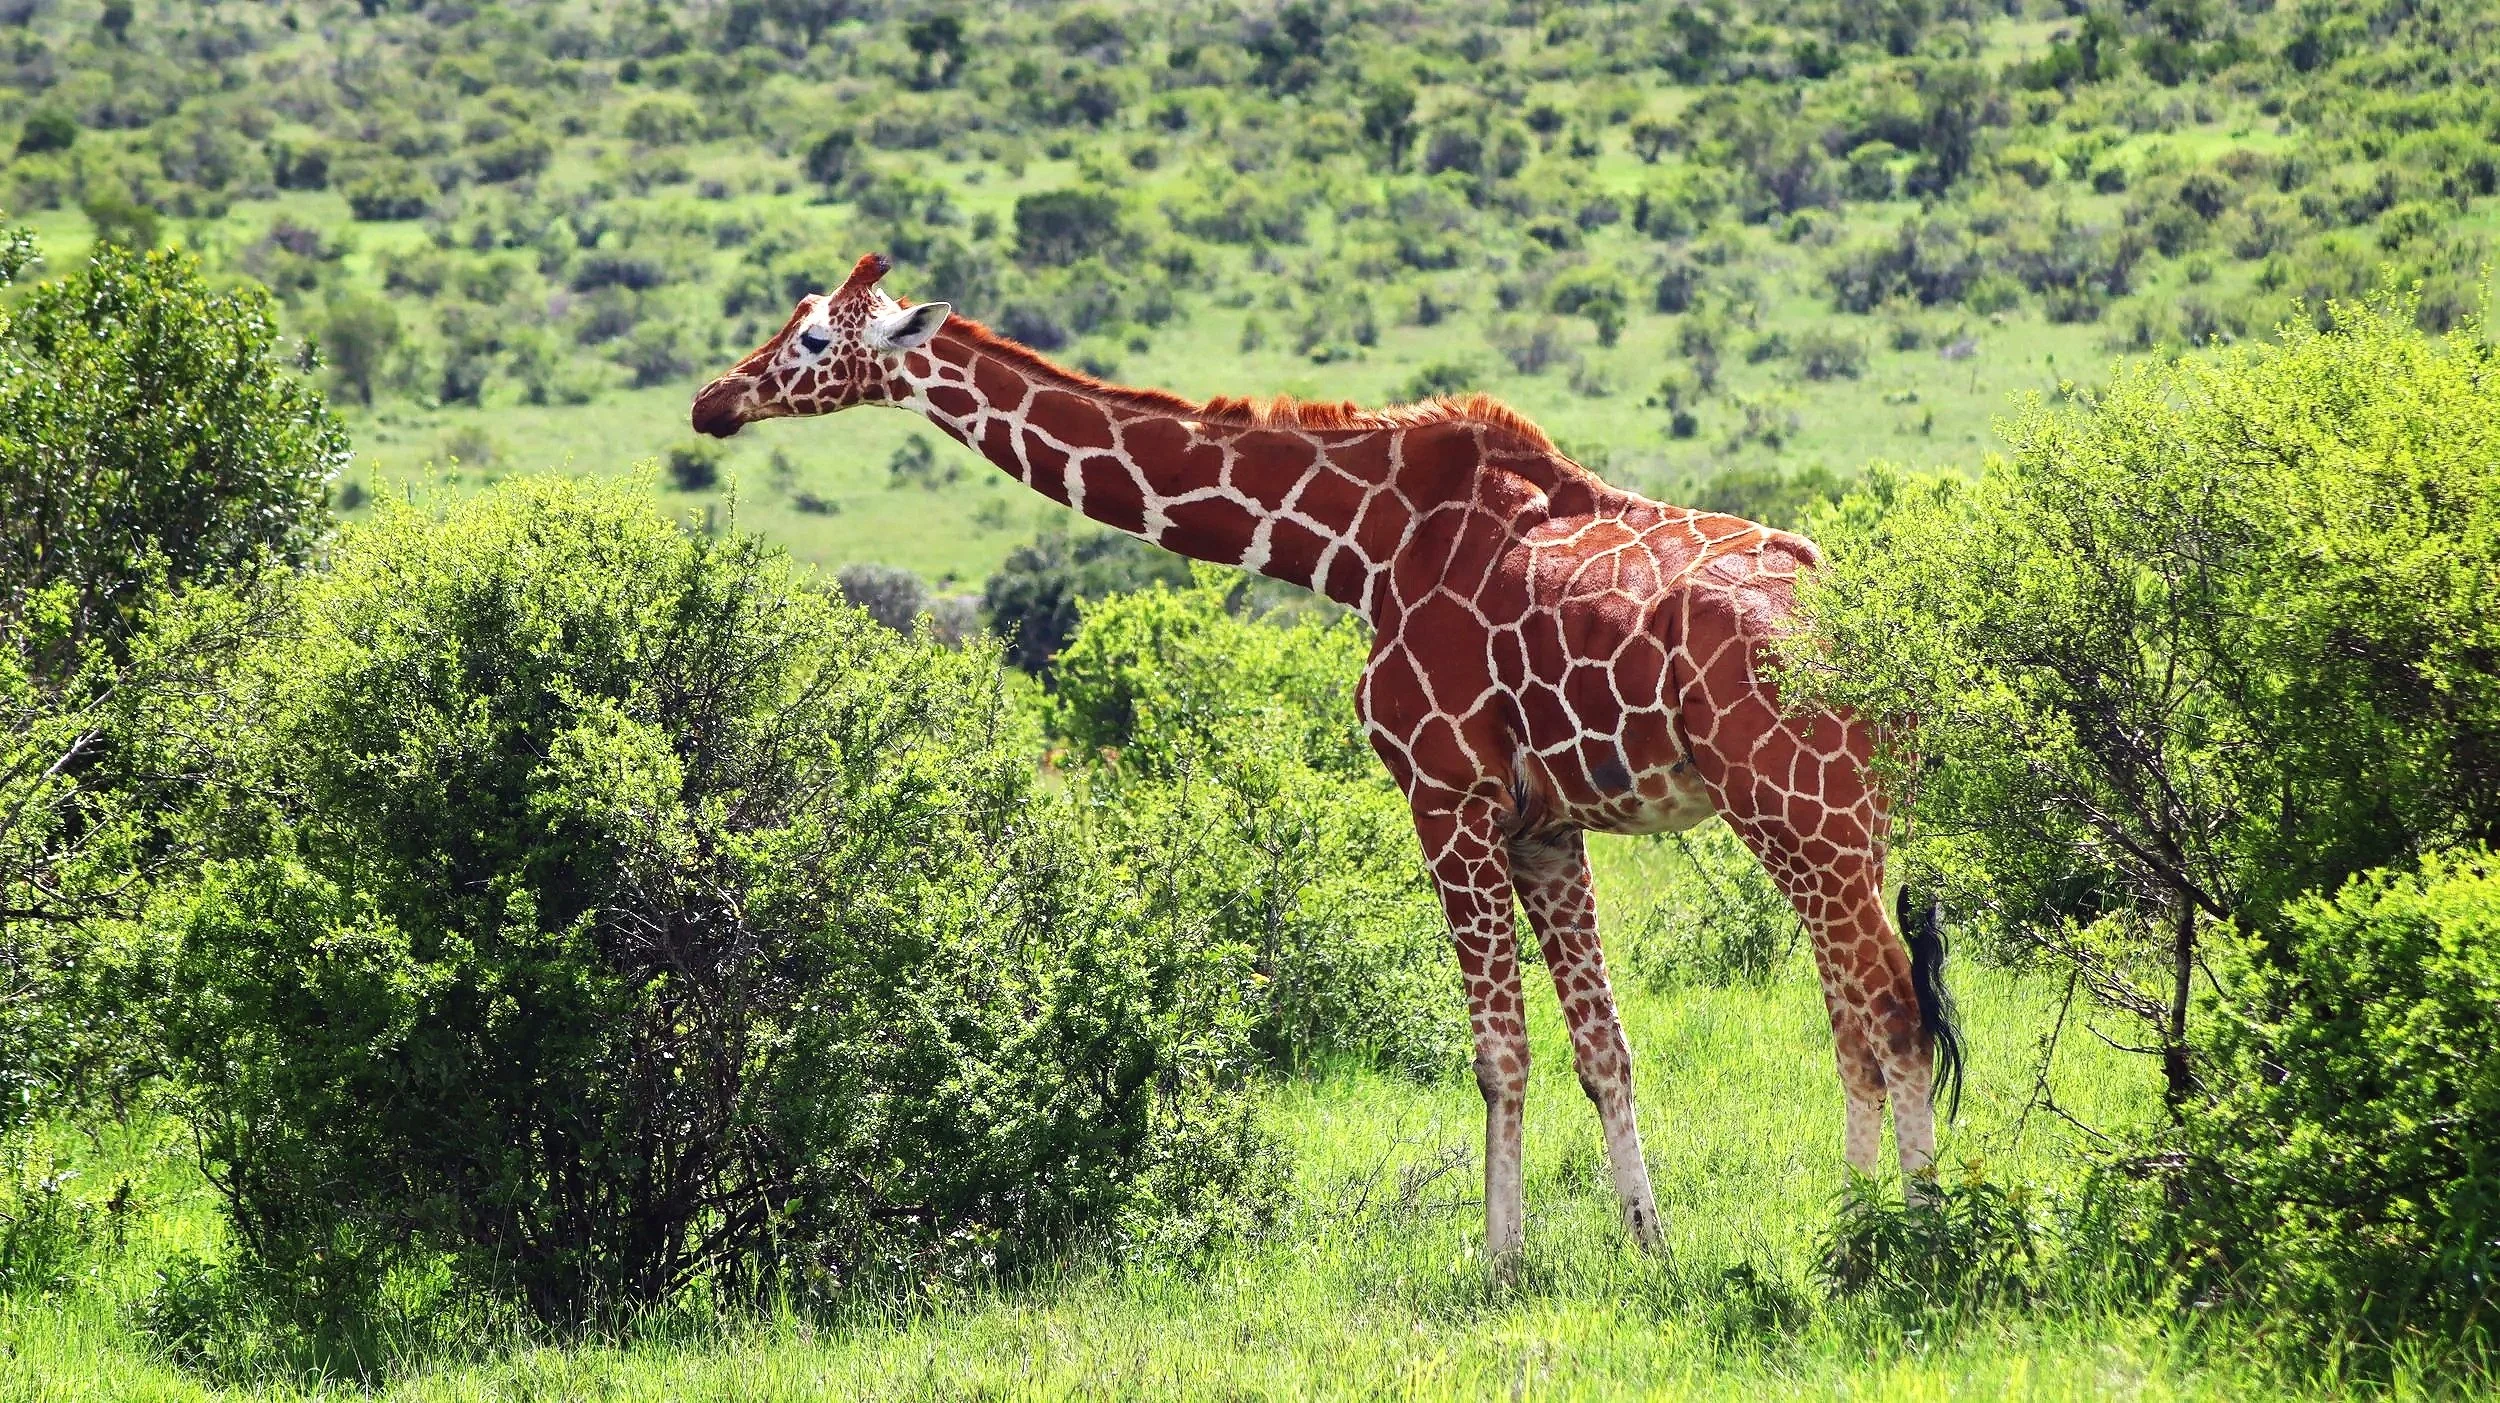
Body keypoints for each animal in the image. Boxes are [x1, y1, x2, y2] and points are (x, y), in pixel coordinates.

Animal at [692, 253, 1964, 1258]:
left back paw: (1896, 1243)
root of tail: (1857, 616)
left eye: (812, 338)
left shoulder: (1445, 789)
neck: (1356, 544)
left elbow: (1498, 1050)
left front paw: (1498, 1262)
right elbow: (1603, 1046)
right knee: (1858, 1015)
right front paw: (1648, 1246)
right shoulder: (1545, 821)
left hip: (1793, 805)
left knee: (1887, 1007)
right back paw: (1864, 1220)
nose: (712, 401)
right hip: (1843, 814)